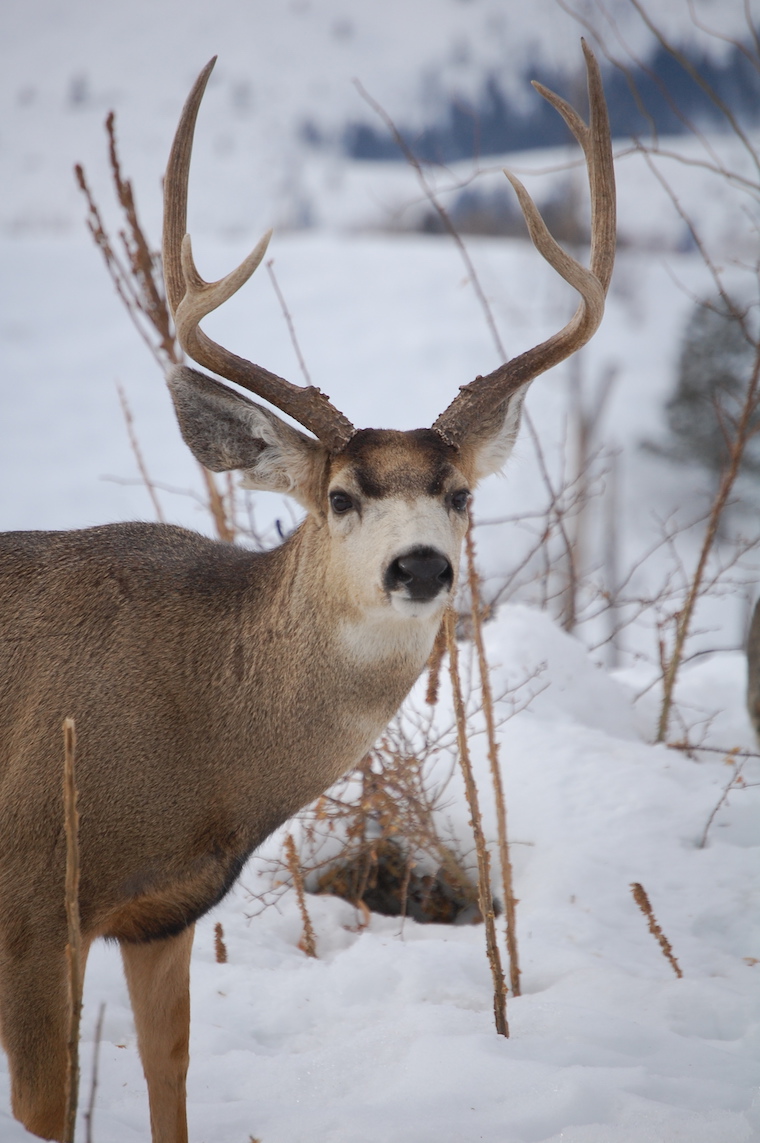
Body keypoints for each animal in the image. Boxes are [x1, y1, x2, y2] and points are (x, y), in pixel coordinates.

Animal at [0, 42, 615, 1143]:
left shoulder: (164, 914)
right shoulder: (33, 897)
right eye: (339, 496)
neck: (193, 729)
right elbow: (45, 1110)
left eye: (460, 494)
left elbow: (170, 1083)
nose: (420, 566)